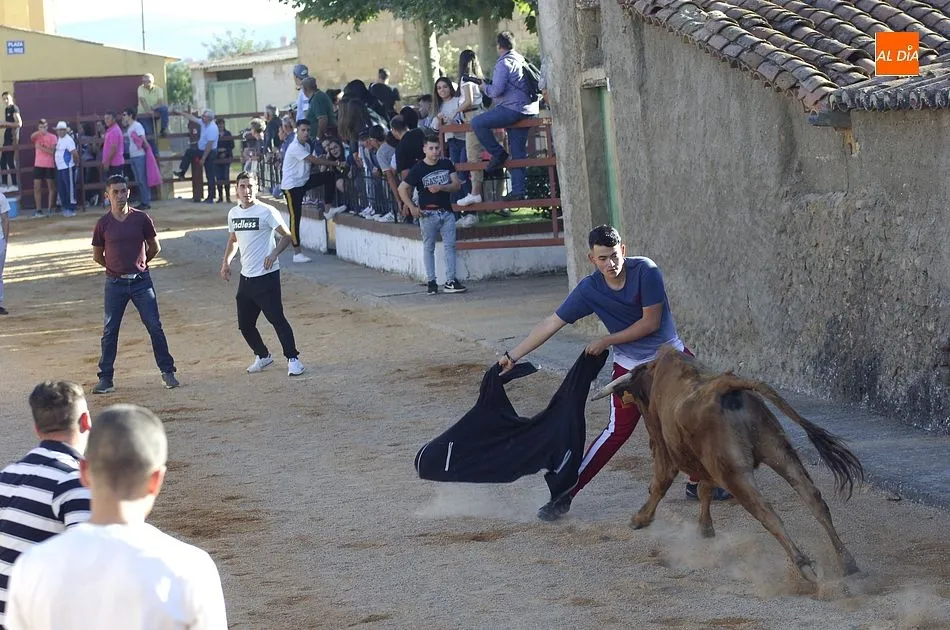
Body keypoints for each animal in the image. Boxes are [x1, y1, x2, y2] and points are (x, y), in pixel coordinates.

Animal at [591, 345, 863, 583]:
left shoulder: (665, 449)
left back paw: (804, 565)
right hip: (779, 451)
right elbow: (704, 489)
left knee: (767, 513)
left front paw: (640, 519)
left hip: (735, 473)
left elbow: (661, 484)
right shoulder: (710, 465)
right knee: (814, 499)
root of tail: (726, 385)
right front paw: (705, 529)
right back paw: (847, 563)